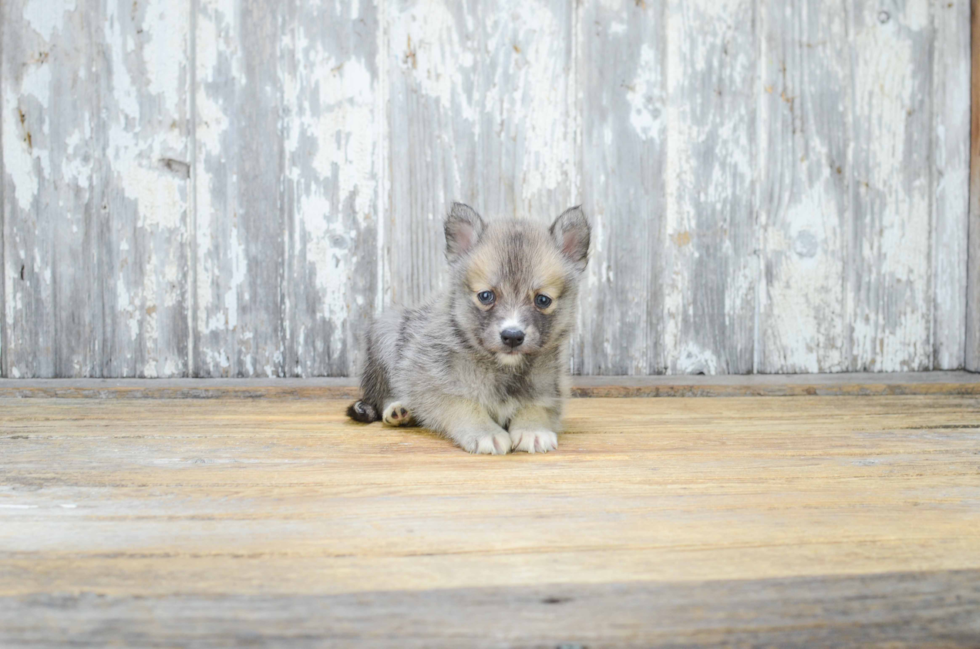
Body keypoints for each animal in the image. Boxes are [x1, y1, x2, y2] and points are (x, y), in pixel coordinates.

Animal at [344, 200, 588, 454]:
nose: (512, 336)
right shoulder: (434, 386)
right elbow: (465, 405)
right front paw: (486, 433)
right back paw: (399, 410)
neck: (504, 368)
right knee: (382, 394)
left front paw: (533, 429)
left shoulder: (550, 389)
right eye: (486, 296)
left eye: (542, 300)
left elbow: (537, 407)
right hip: (387, 337)